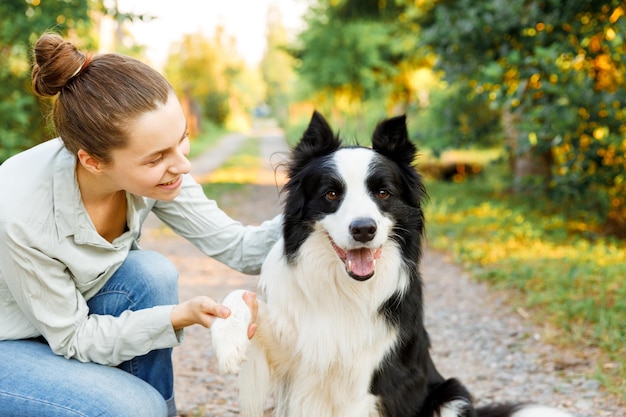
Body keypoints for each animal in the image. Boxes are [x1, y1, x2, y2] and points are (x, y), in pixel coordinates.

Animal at [212, 110, 572, 416]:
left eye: (383, 193)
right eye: (331, 194)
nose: (363, 229)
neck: (344, 291)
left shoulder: (366, 385)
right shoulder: (296, 355)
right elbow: (240, 298)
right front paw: (228, 343)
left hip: (452, 393)